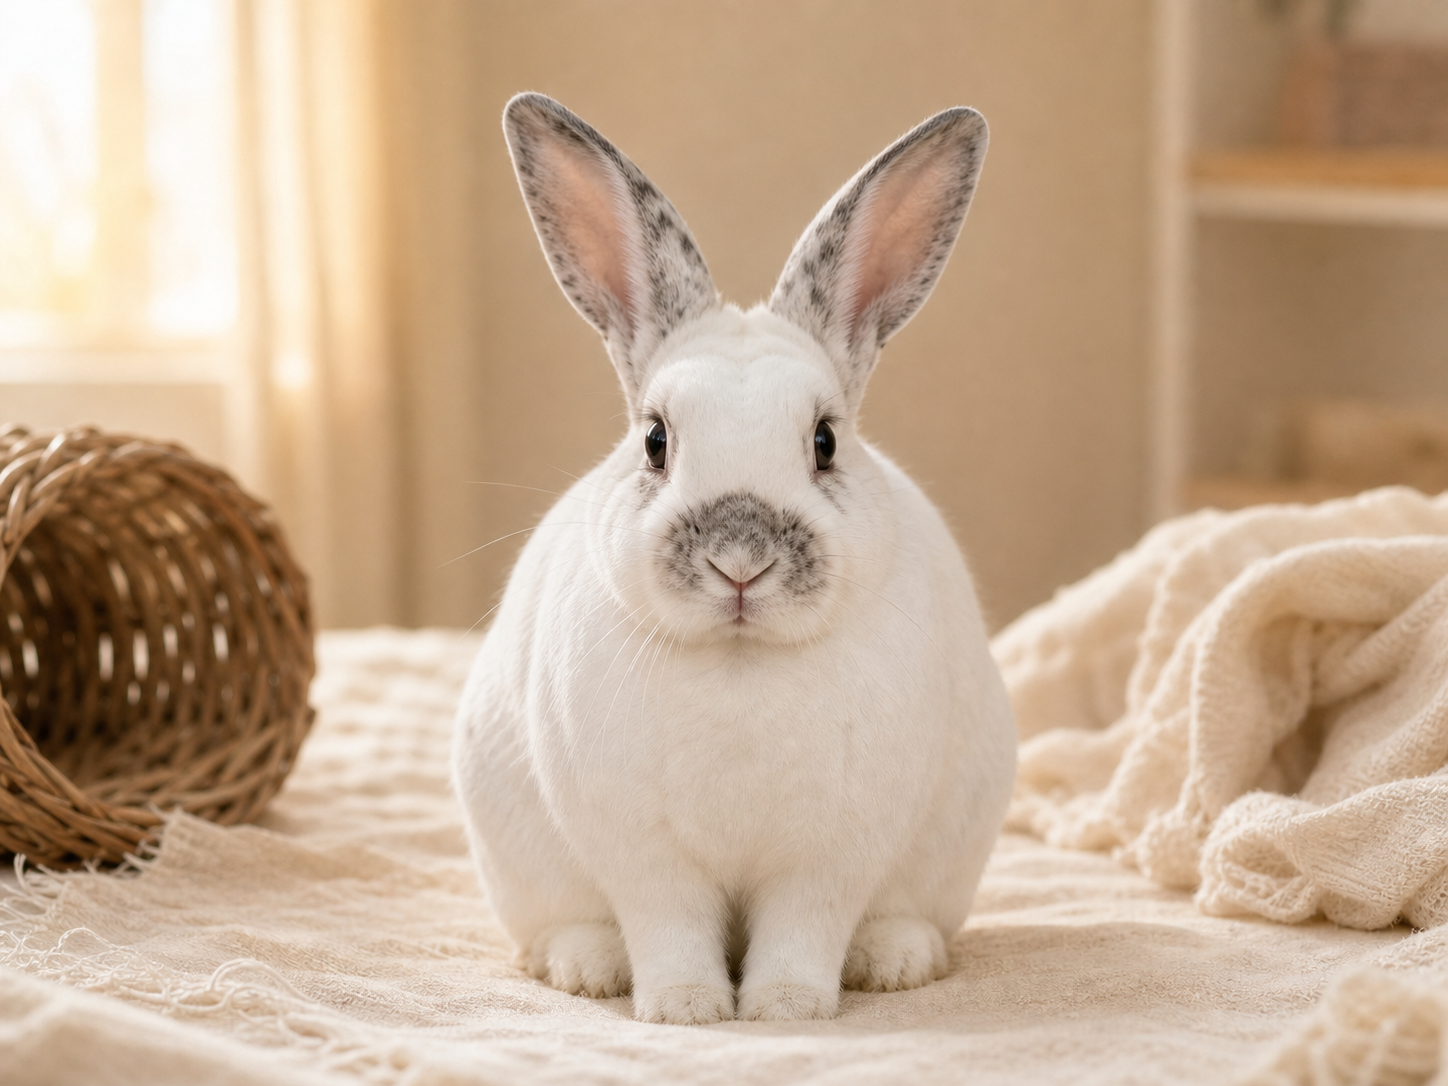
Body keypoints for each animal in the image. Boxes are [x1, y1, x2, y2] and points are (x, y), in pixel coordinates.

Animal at [452, 92, 1016, 1025]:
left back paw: (895, 959)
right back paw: (586, 967)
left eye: (825, 442)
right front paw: (685, 1009)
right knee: (569, 926)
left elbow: (803, 930)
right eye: (654, 441)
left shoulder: (829, 859)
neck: (741, 660)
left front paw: (785, 1007)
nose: (739, 559)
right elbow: (670, 928)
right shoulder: (647, 860)